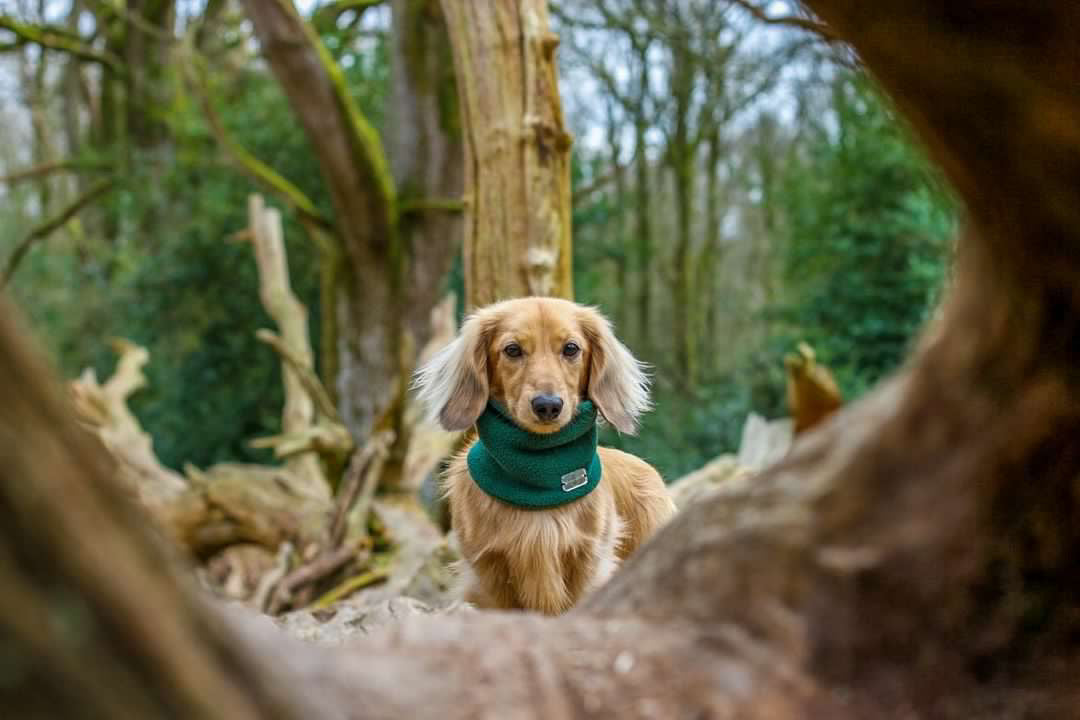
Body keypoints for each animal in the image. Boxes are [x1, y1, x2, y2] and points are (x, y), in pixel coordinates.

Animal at [414, 293, 673, 613]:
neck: (541, 473)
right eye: (512, 350)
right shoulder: (488, 575)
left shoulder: (587, 563)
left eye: (571, 348)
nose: (548, 406)